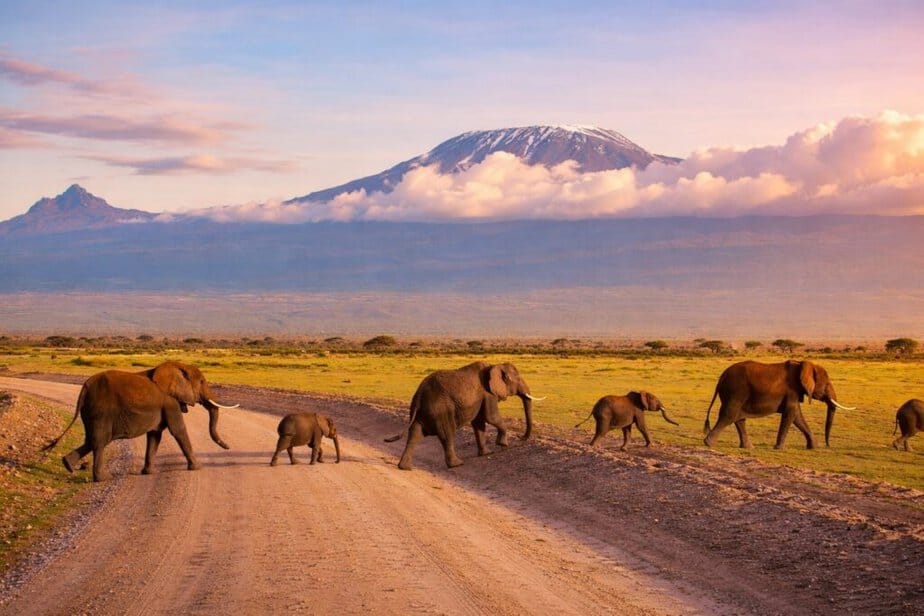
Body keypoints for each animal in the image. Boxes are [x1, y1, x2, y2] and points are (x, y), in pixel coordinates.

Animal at [43, 361, 238, 482]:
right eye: (202, 381)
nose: (228, 447)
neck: (177, 366)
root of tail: (84, 387)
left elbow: (155, 435)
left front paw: (148, 473)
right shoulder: (170, 402)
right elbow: (178, 430)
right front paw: (198, 468)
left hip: (90, 411)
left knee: (91, 440)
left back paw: (67, 465)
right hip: (100, 410)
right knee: (100, 441)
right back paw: (102, 479)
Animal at [384, 361, 541, 470]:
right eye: (518, 379)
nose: (521, 437)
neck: (494, 365)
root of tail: (420, 394)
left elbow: (479, 423)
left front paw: (486, 453)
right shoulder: (488, 393)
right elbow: (491, 417)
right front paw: (502, 444)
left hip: (422, 411)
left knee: (415, 434)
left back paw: (405, 467)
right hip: (440, 409)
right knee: (447, 434)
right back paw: (457, 464)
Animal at [703, 360, 854, 449]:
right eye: (827, 384)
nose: (828, 445)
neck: (802, 364)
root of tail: (721, 377)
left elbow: (798, 416)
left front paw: (814, 447)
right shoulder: (792, 390)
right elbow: (791, 414)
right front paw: (779, 448)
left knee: (739, 418)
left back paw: (748, 447)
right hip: (735, 392)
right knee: (729, 415)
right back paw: (709, 443)